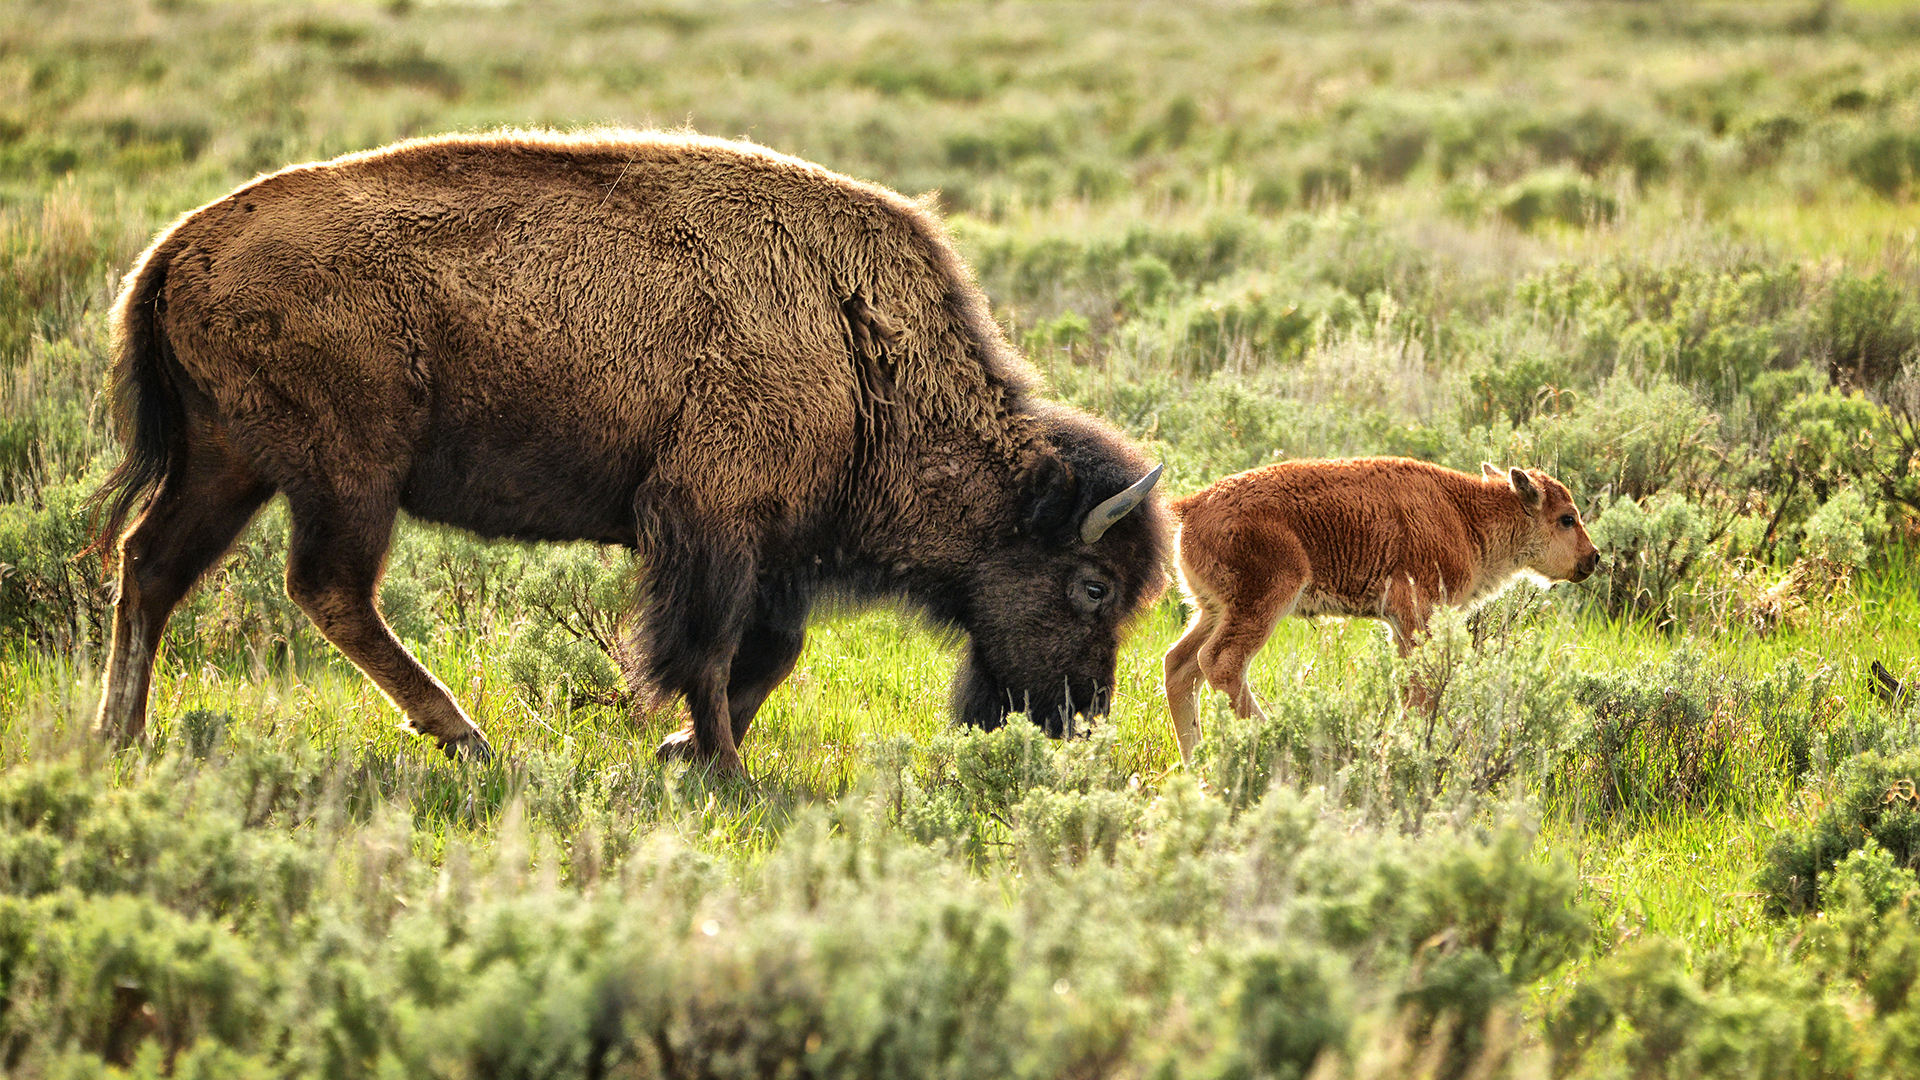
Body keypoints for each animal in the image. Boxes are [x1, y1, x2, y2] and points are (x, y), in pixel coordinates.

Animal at [90, 130, 1159, 768]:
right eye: (1093, 585)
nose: (1079, 718)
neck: (860, 346)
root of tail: (175, 249)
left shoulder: (772, 549)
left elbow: (769, 655)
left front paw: (682, 752)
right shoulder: (712, 520)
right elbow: (712, 651)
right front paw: (720, 768)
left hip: (230, 464)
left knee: (152, 567)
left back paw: (120, 735)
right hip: (348, 474)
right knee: (327, 589)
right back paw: (465, 737)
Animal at [1159, 457, 1597, 760]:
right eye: (1566, 519)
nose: (1593, 557)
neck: (1465, 513)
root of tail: (1191, 505)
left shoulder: (1401, 625)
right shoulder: (1417, 614)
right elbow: (1421, 688)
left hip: (1212, 610)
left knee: (1181, 664)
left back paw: (1197, 763)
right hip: (1264, 602)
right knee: (1220, 662)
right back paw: (1276, 741)